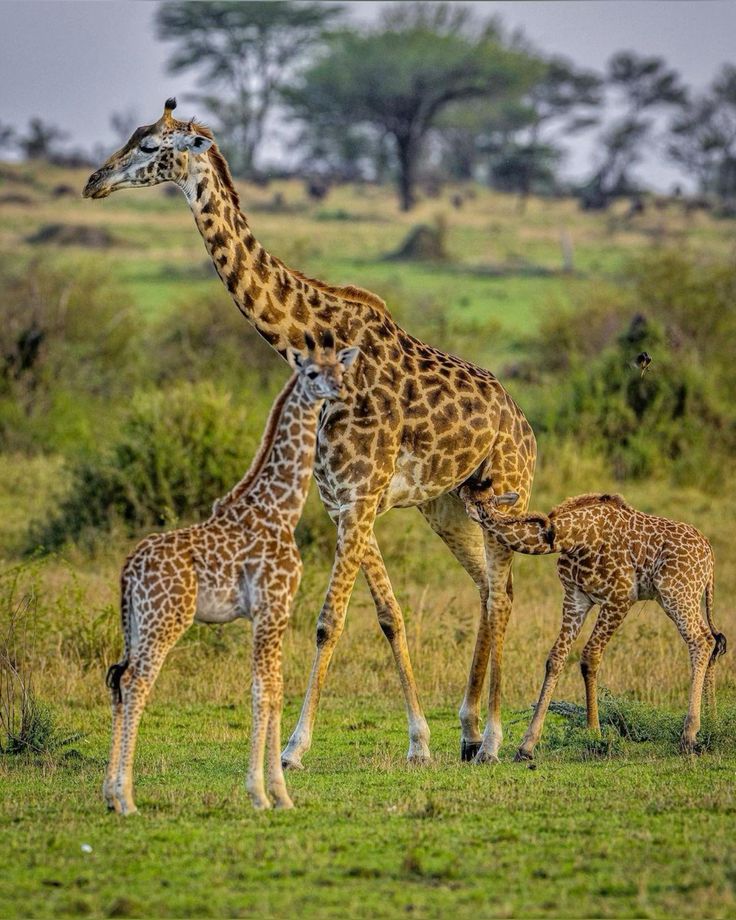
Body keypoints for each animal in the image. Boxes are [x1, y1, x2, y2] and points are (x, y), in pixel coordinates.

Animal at [104, 332, 360, 812]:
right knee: (134, 682)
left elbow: (272, 690)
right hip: (165, 620)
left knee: (116, 680)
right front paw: (264, 792)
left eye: (340, 368)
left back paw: (110, 795)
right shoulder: (273, 609)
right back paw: (126, 798)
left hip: (136, 623)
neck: (281, 509)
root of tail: (129, 568)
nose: (338, 390)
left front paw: (277, 791)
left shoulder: (266, 614)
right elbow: (266, 691)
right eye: (311, 372)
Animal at [460, 482, 724, 760]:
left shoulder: (620, 597)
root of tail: (709, 553)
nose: (460, 490)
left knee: (700, 641)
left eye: (476, 497)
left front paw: (595, 736)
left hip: (677, 594)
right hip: (682, 597)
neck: (572, 536)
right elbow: (556, 659)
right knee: (711, 639)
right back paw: (712, 726)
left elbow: (590, 656)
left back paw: (689, 736)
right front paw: (527, 746)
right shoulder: (575, 597)